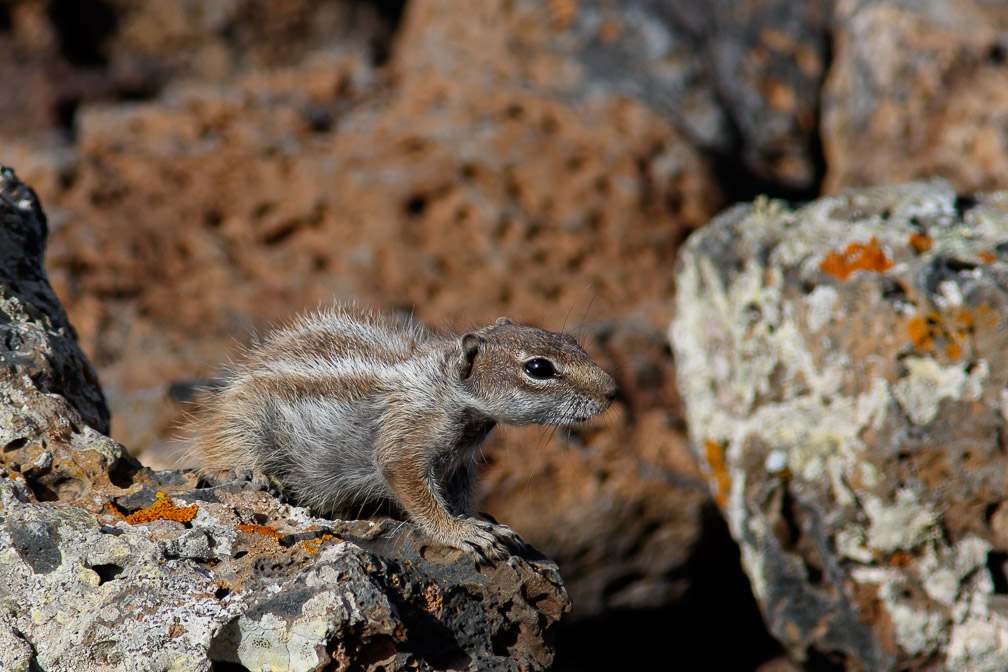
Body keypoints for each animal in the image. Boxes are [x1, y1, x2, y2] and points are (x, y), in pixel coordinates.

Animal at [188, 302, 612, 560]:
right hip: (244, 420)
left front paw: (480, 521)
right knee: (215, 454)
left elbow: (460, 494)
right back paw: (247, 472)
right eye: (539, 368)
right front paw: (459, 531)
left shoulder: (461, 464)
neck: (445, 389)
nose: (612, 390)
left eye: (573, 342)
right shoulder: (407, 437)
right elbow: (413, 488)